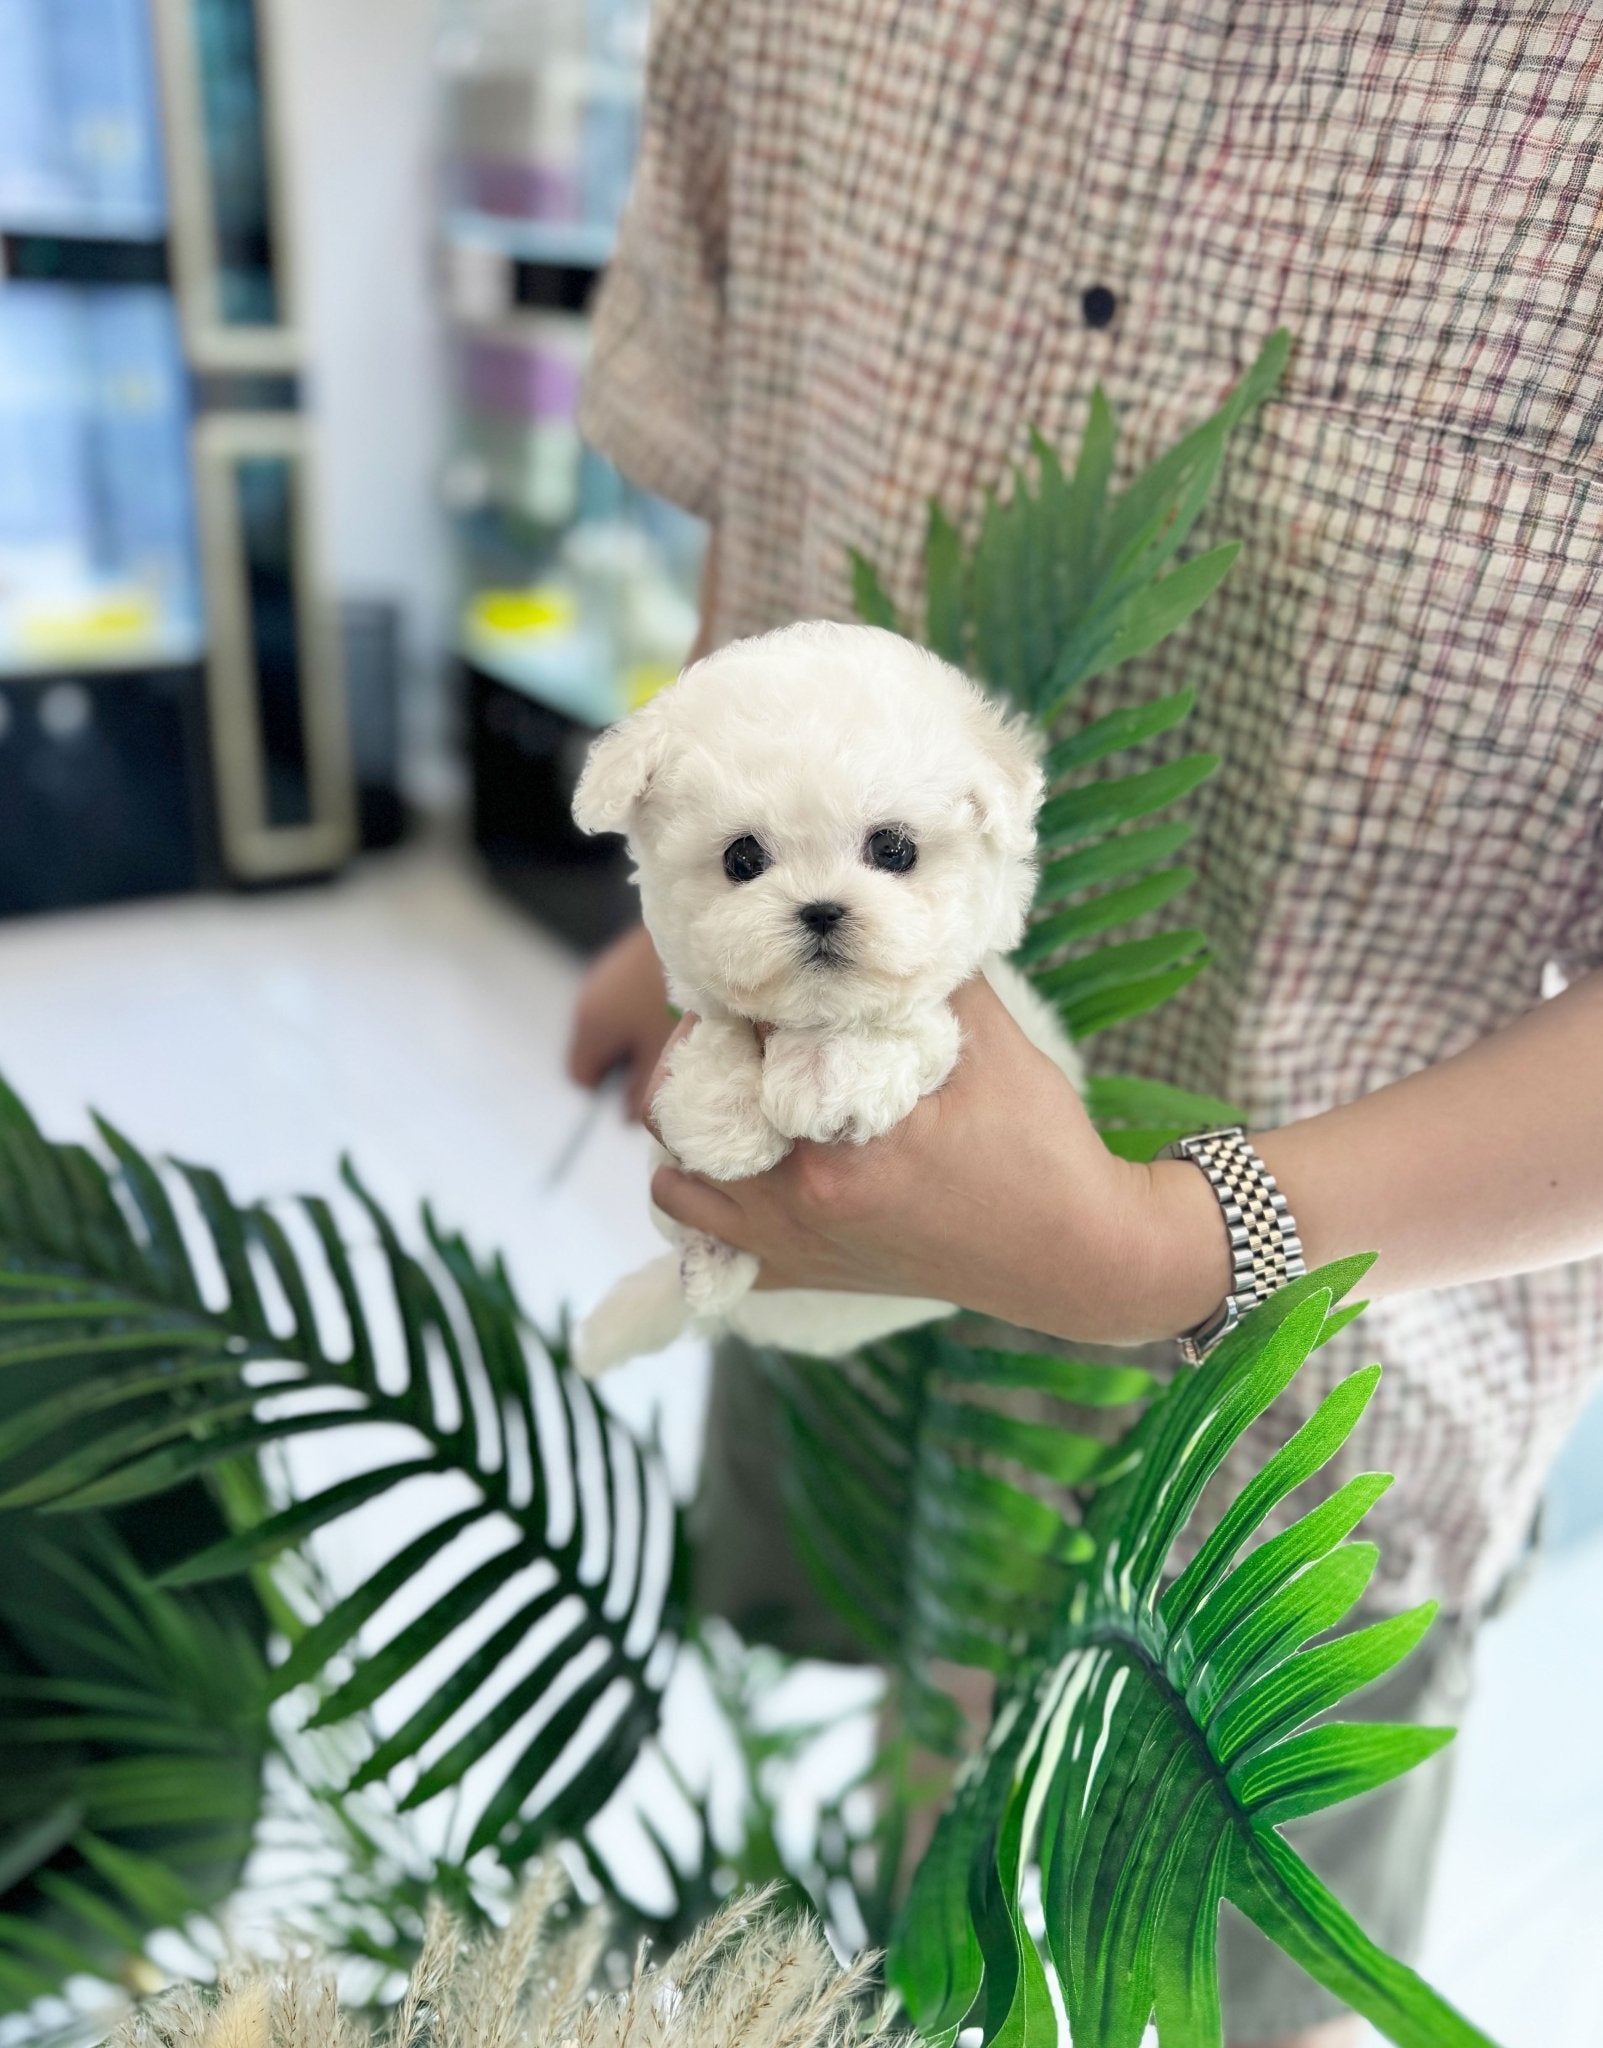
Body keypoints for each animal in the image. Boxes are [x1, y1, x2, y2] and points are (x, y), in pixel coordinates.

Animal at [569, 614, 1080, 1368]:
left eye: (893, 848)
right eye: (742, 858)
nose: (819, 909)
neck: (811, 1015)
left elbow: (911, 1024)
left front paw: (827, 1074)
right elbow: (718, 1027)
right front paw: (723, 1117)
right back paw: (708, 1263)